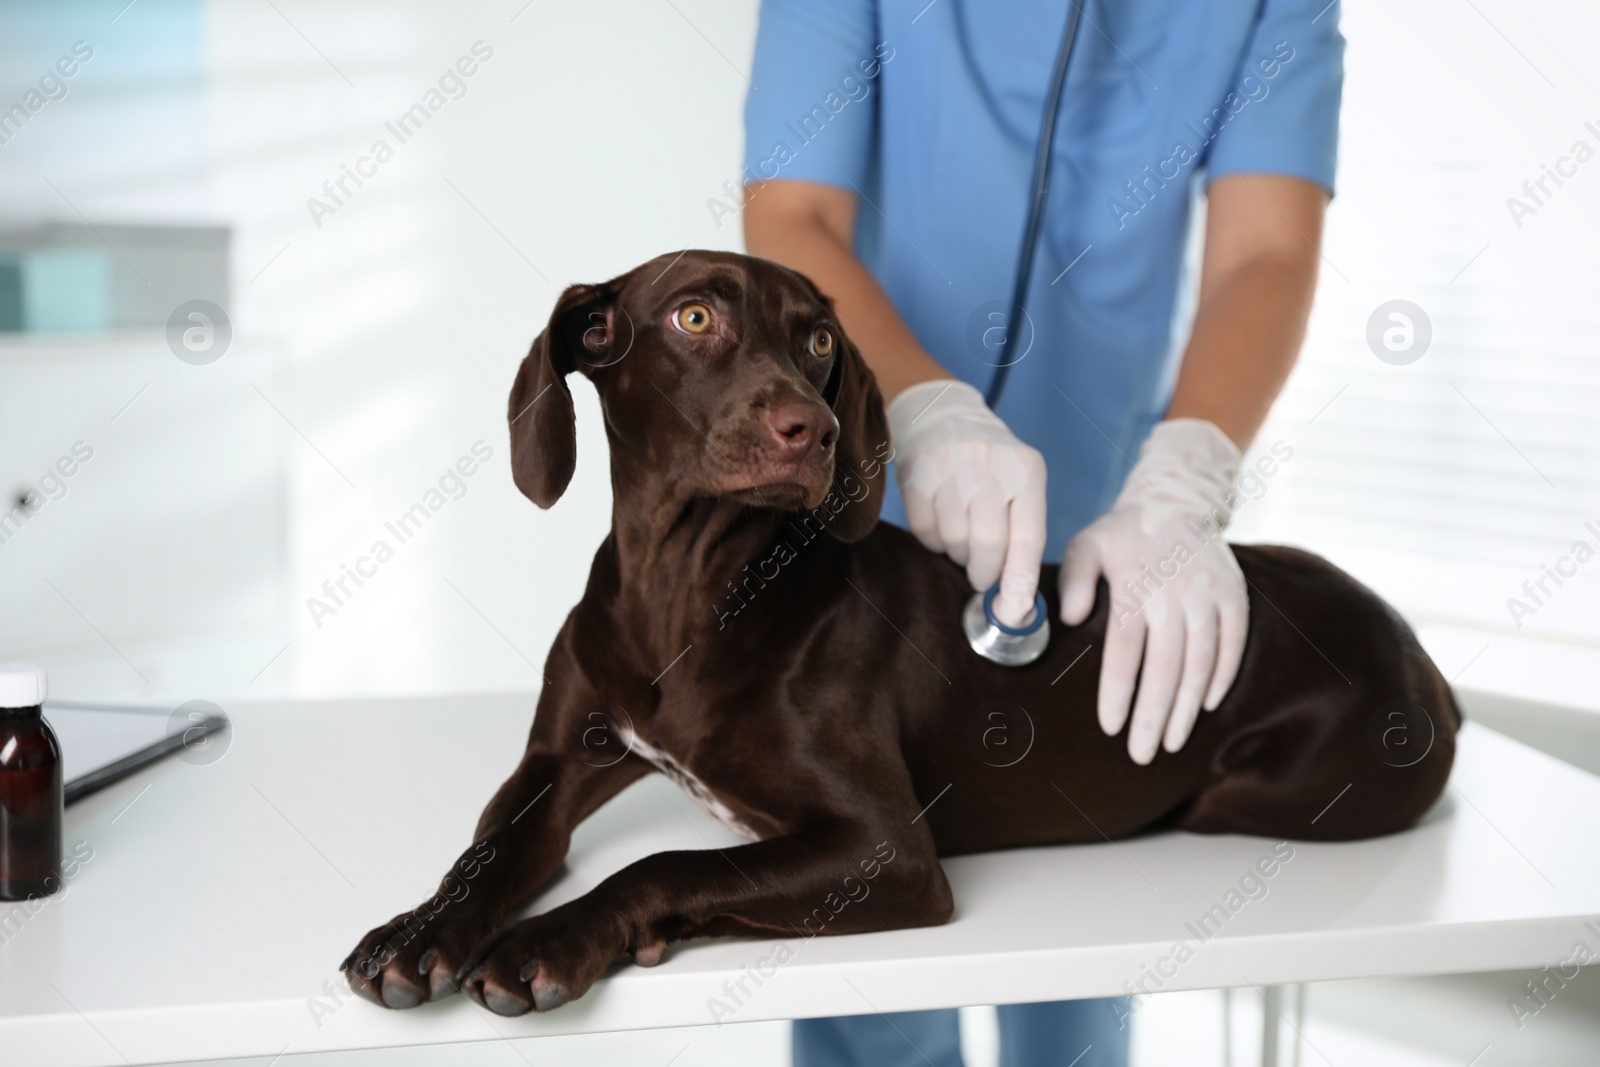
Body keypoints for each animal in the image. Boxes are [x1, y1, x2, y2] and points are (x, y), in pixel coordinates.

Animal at [344, 247, 1459, 1017]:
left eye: (818, 342)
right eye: (693, 315)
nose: (813, 428)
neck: (688, 590)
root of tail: (1420, 653)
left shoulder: (887, 848)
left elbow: (667, 863)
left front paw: (555, 941)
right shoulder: (555, 762)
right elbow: (487, 851)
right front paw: (418, 931)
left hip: (1268, 786)